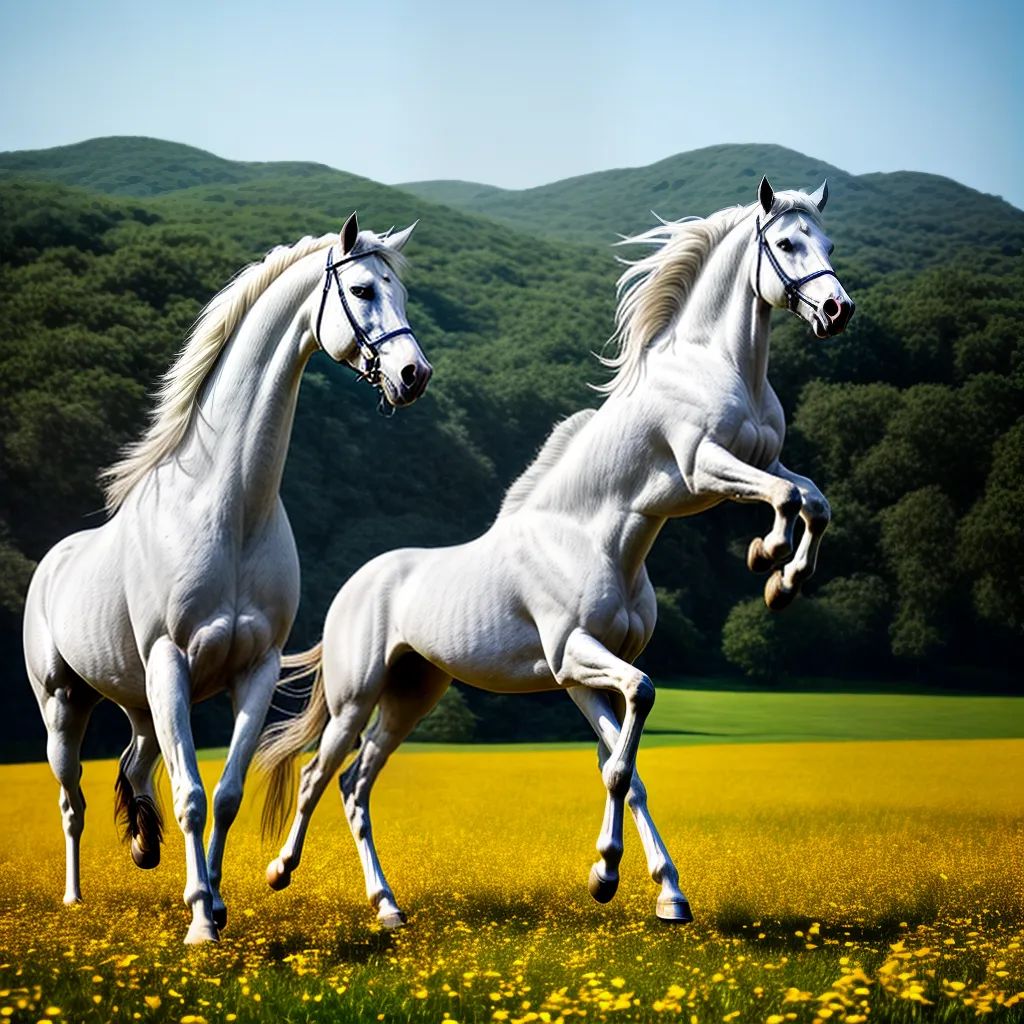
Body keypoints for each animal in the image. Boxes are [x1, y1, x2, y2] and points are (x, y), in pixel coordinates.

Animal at [22, 212, 432, 943]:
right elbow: (189, 795)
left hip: (138, 703)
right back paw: (73, 899)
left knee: (133, 765)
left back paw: (143, 847)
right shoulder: (170, 662)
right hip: (65, 703)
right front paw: (199, 925)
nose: (414, 374)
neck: (228, 507)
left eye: (402, 294)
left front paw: (213, 902)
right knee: (72, 799)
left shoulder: (256, 670)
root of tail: (52, 564)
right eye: (361, 289)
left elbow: (227, 793)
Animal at [257, 178, 854, 929]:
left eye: (828, 241)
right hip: (355, 695)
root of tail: (355, 584)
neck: (600, 540)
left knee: (356, 786)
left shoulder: (587, 671)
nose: (837, 310)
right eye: (786, 243)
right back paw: (279, 872)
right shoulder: (693, 481)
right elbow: (781, 503)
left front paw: (661, 893)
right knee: (316, 775)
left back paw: (387, 907)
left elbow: (811, 499)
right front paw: (768, 557)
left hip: (411, 694)